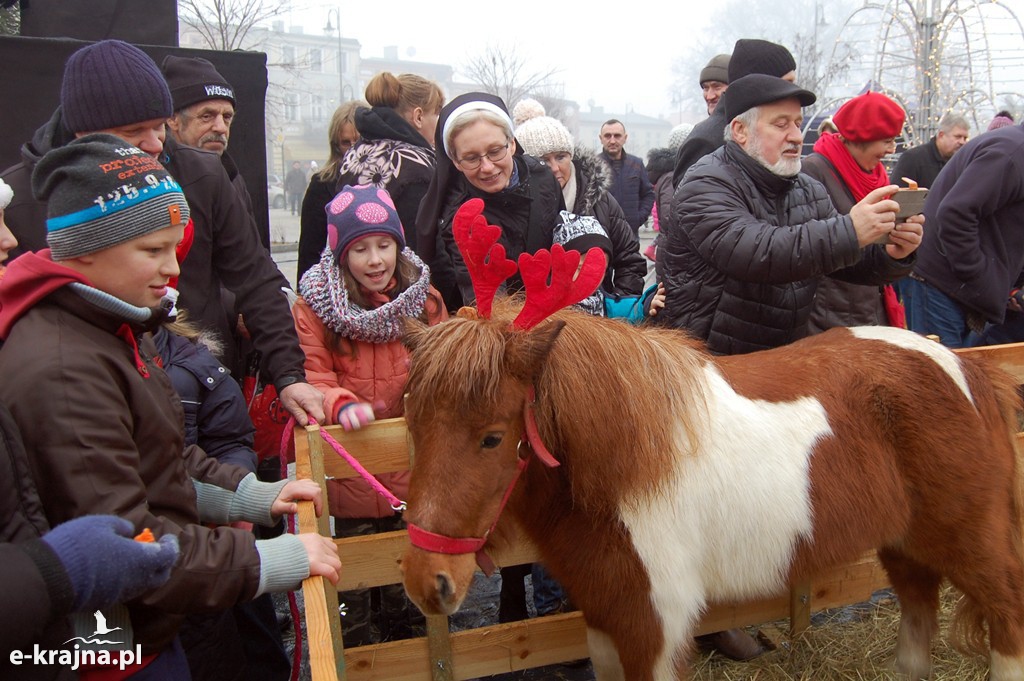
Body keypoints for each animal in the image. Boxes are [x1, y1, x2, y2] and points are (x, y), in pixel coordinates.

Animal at [397, 201, 1024, 679]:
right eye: (414, 425)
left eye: (492, 438)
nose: (427, 583)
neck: (623, 464)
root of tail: (965, 368)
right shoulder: (603, 619)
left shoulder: (653, 626)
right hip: (905, 546)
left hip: (973, 544)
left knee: (1008, 620)